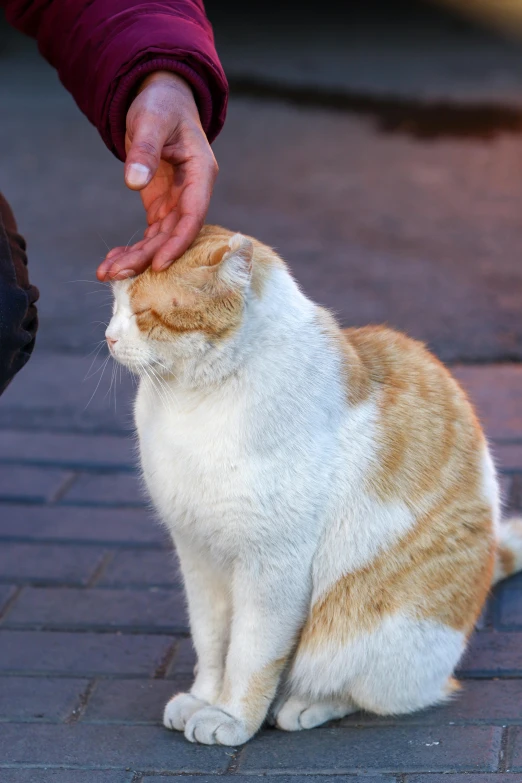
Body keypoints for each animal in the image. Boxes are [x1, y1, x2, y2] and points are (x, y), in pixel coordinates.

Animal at [104, 225, 520, 748]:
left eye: (141, 314)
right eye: (114, 305)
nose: (108, 337)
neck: (191, 402)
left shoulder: (272, 563)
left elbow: (250, 654)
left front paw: (233, 717)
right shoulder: (197, 553)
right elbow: (212, 642)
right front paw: (204, 698)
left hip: (380, 633)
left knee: (368, 689)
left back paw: (302, 705)